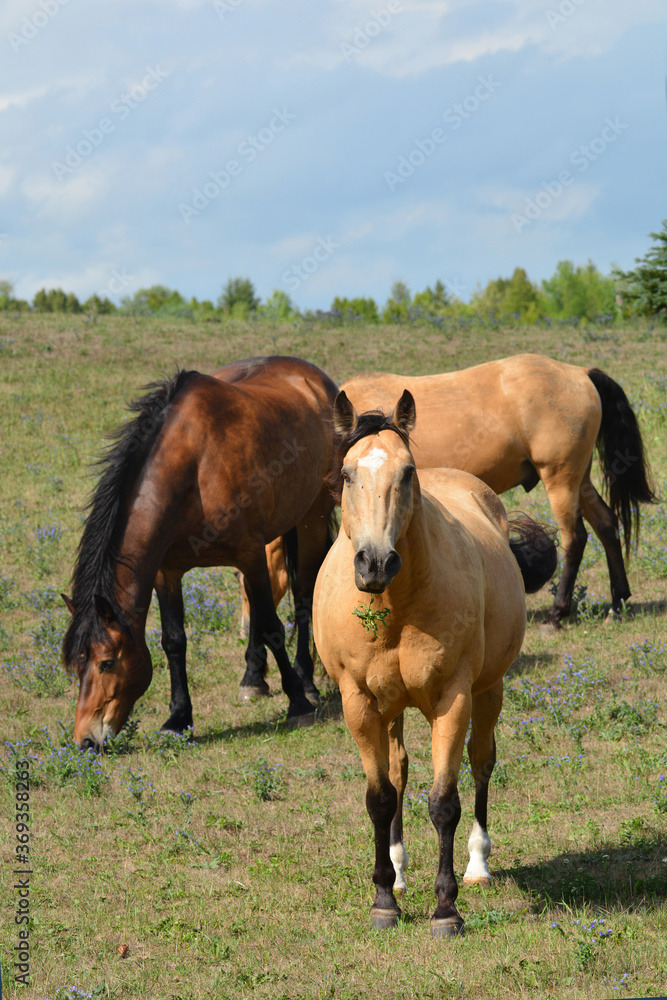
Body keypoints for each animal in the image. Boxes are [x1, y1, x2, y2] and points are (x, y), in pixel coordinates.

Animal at [63, 356, 340, 748]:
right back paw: (253, 678)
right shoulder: (167, 572)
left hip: (310, 518)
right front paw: (178, 718)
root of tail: (315, 379)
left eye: (107, 663)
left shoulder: (250, 553)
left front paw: (298, 702)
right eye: (76, 665)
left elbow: (273, 625)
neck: (194, 466)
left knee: (302, 595)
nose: (86, 740)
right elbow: (174, 641)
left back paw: (306, 680)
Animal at [314, 386, 560, 932]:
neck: (396, 608)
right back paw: (401, 873)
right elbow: (381, 797)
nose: (376, 562)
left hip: (489, 690)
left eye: (407, 472)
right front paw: (384, 899)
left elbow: (445, 802)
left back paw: (478, 866)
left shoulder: (452, 698)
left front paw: (446, 908)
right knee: (400, 770)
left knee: (481, 761)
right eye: (347, 473)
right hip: (391, 709)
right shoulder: (358, 703)